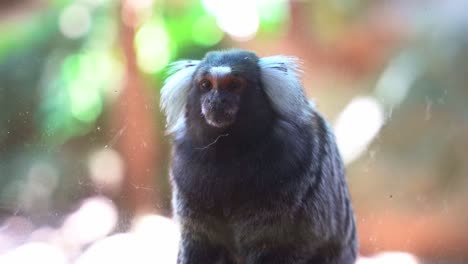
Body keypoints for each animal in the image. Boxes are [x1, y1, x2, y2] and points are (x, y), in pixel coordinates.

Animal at [161, 50, 358, 264]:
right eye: (206, 85)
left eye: (234, 85)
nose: (215, 101)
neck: (228, 151)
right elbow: (199, 240)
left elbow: (286, 243)